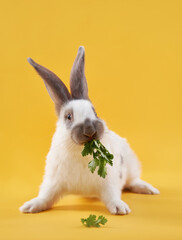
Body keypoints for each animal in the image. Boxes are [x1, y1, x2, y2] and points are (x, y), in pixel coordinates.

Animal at [19, 46, 159, 215]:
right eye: (68, 116)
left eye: (95, 112)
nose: (90, 130)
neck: (80, 152)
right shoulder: (53, 181)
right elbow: (45, 196)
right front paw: (29, 206)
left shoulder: (109, 182)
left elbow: (112, 196)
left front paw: (120, 208)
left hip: (131, 165)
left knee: (133, 181)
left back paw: (149, 189)